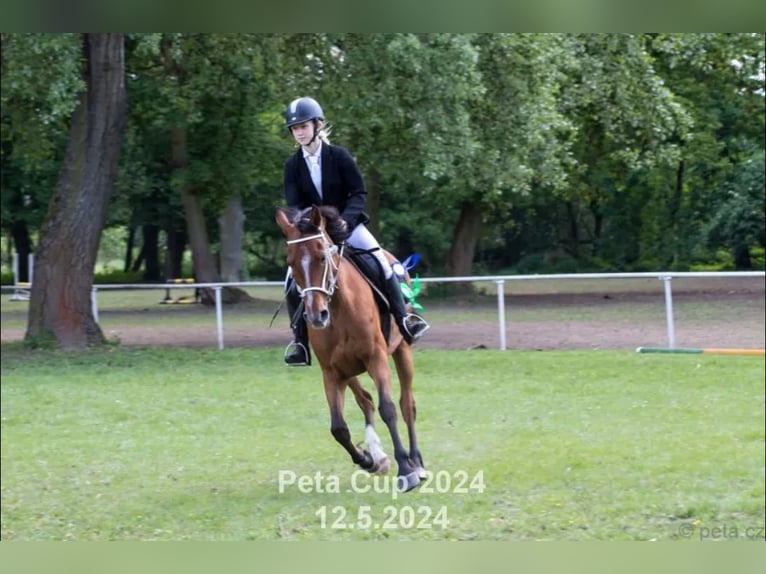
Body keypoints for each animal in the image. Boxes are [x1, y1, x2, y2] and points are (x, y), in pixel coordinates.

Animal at [276, 205, 426, 492]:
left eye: (322, 257)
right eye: (291, 262)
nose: (316, 316)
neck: (337, 308)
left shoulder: (376, 358)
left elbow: (388, 409)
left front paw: (406, 470)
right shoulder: (330, 371)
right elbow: (338, 428)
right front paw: (368, 460)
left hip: (401, 350)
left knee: (407, 404)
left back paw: (417, 463)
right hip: (348, 370)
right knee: (365, 400)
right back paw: (378, 456)